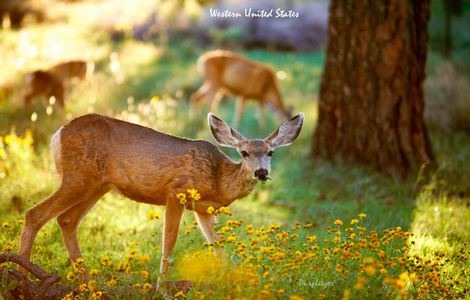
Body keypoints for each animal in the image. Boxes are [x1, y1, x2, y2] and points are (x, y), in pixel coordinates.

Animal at [17, 111, 304, 284]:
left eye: (271, 152)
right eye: (244, 152)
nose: (261, 172)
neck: (218, 180)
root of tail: (58, 134)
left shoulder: (203, 209)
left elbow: (218, 248)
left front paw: (230, 283)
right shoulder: (176, 192)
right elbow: (169, 243)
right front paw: (161, 287)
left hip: (97, 185)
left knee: (66, 220)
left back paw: (87, 280)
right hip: (78, 177)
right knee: (35, 214)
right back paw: (22, 277)